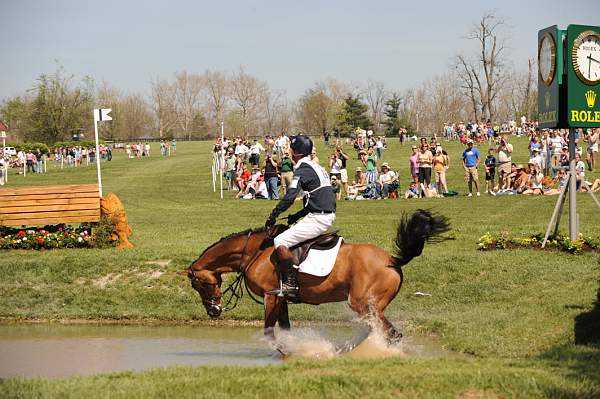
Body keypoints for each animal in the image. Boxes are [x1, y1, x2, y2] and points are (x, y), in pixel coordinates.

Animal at [185, 209, 448, 344]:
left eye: (198, 285)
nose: (213, 311)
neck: (255, 251)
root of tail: (392, 260)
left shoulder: (272, 297)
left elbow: (269, 332)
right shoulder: (281, 299)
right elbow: (285, 329)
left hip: (363, 304)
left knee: (389, 332)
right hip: (368, 308)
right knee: (377, 331)